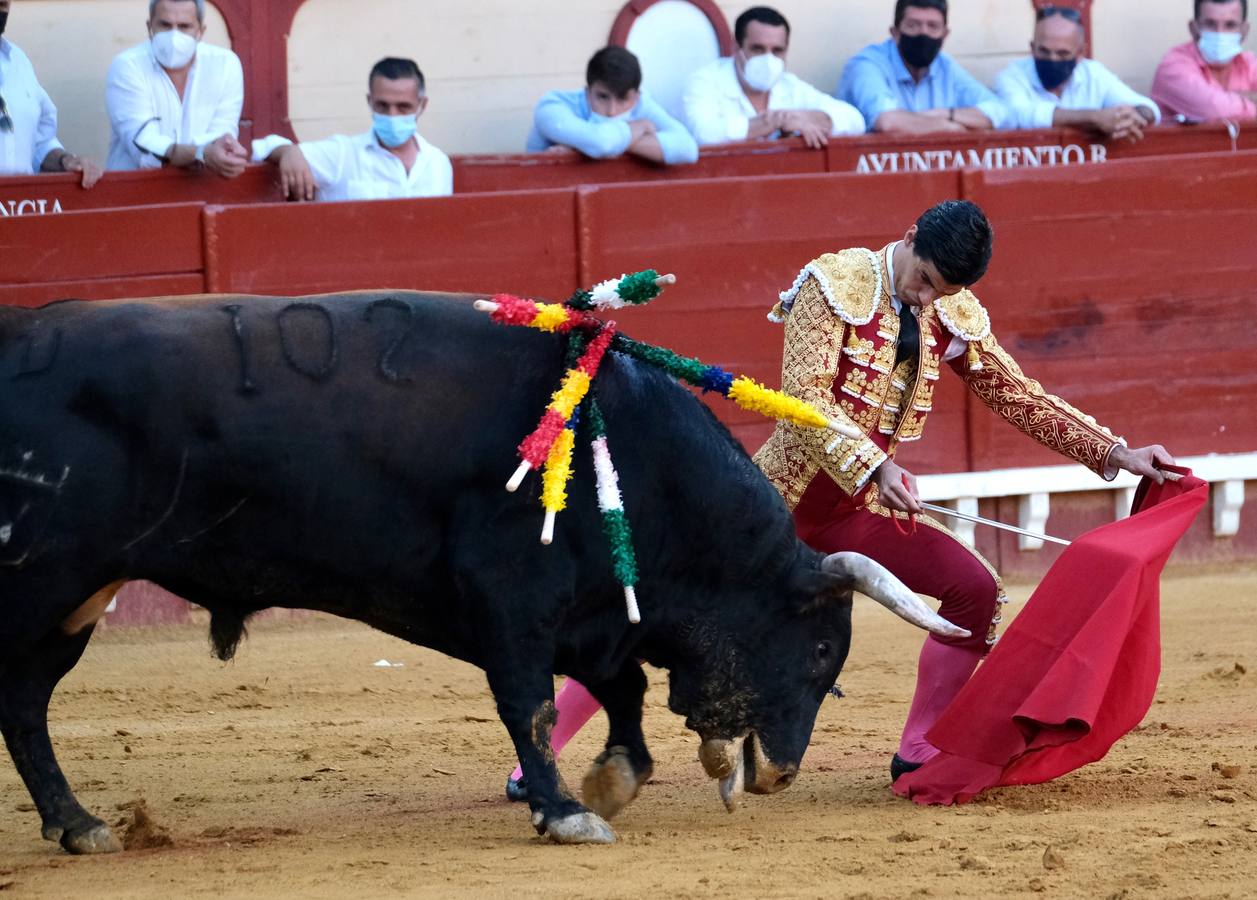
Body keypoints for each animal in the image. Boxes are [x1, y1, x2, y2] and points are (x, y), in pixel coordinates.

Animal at [0, 294, 960, 849]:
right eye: (819, 653)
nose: (781, 774)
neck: (632, 451)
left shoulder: (594, 613)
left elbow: (619, 693)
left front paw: (609, 782)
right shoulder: (512, 597)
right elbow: (529, 703)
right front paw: (565, 812)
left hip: (74, 602)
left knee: (27, 702)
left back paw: (79, 825)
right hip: (39, 582)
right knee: (20, 697)